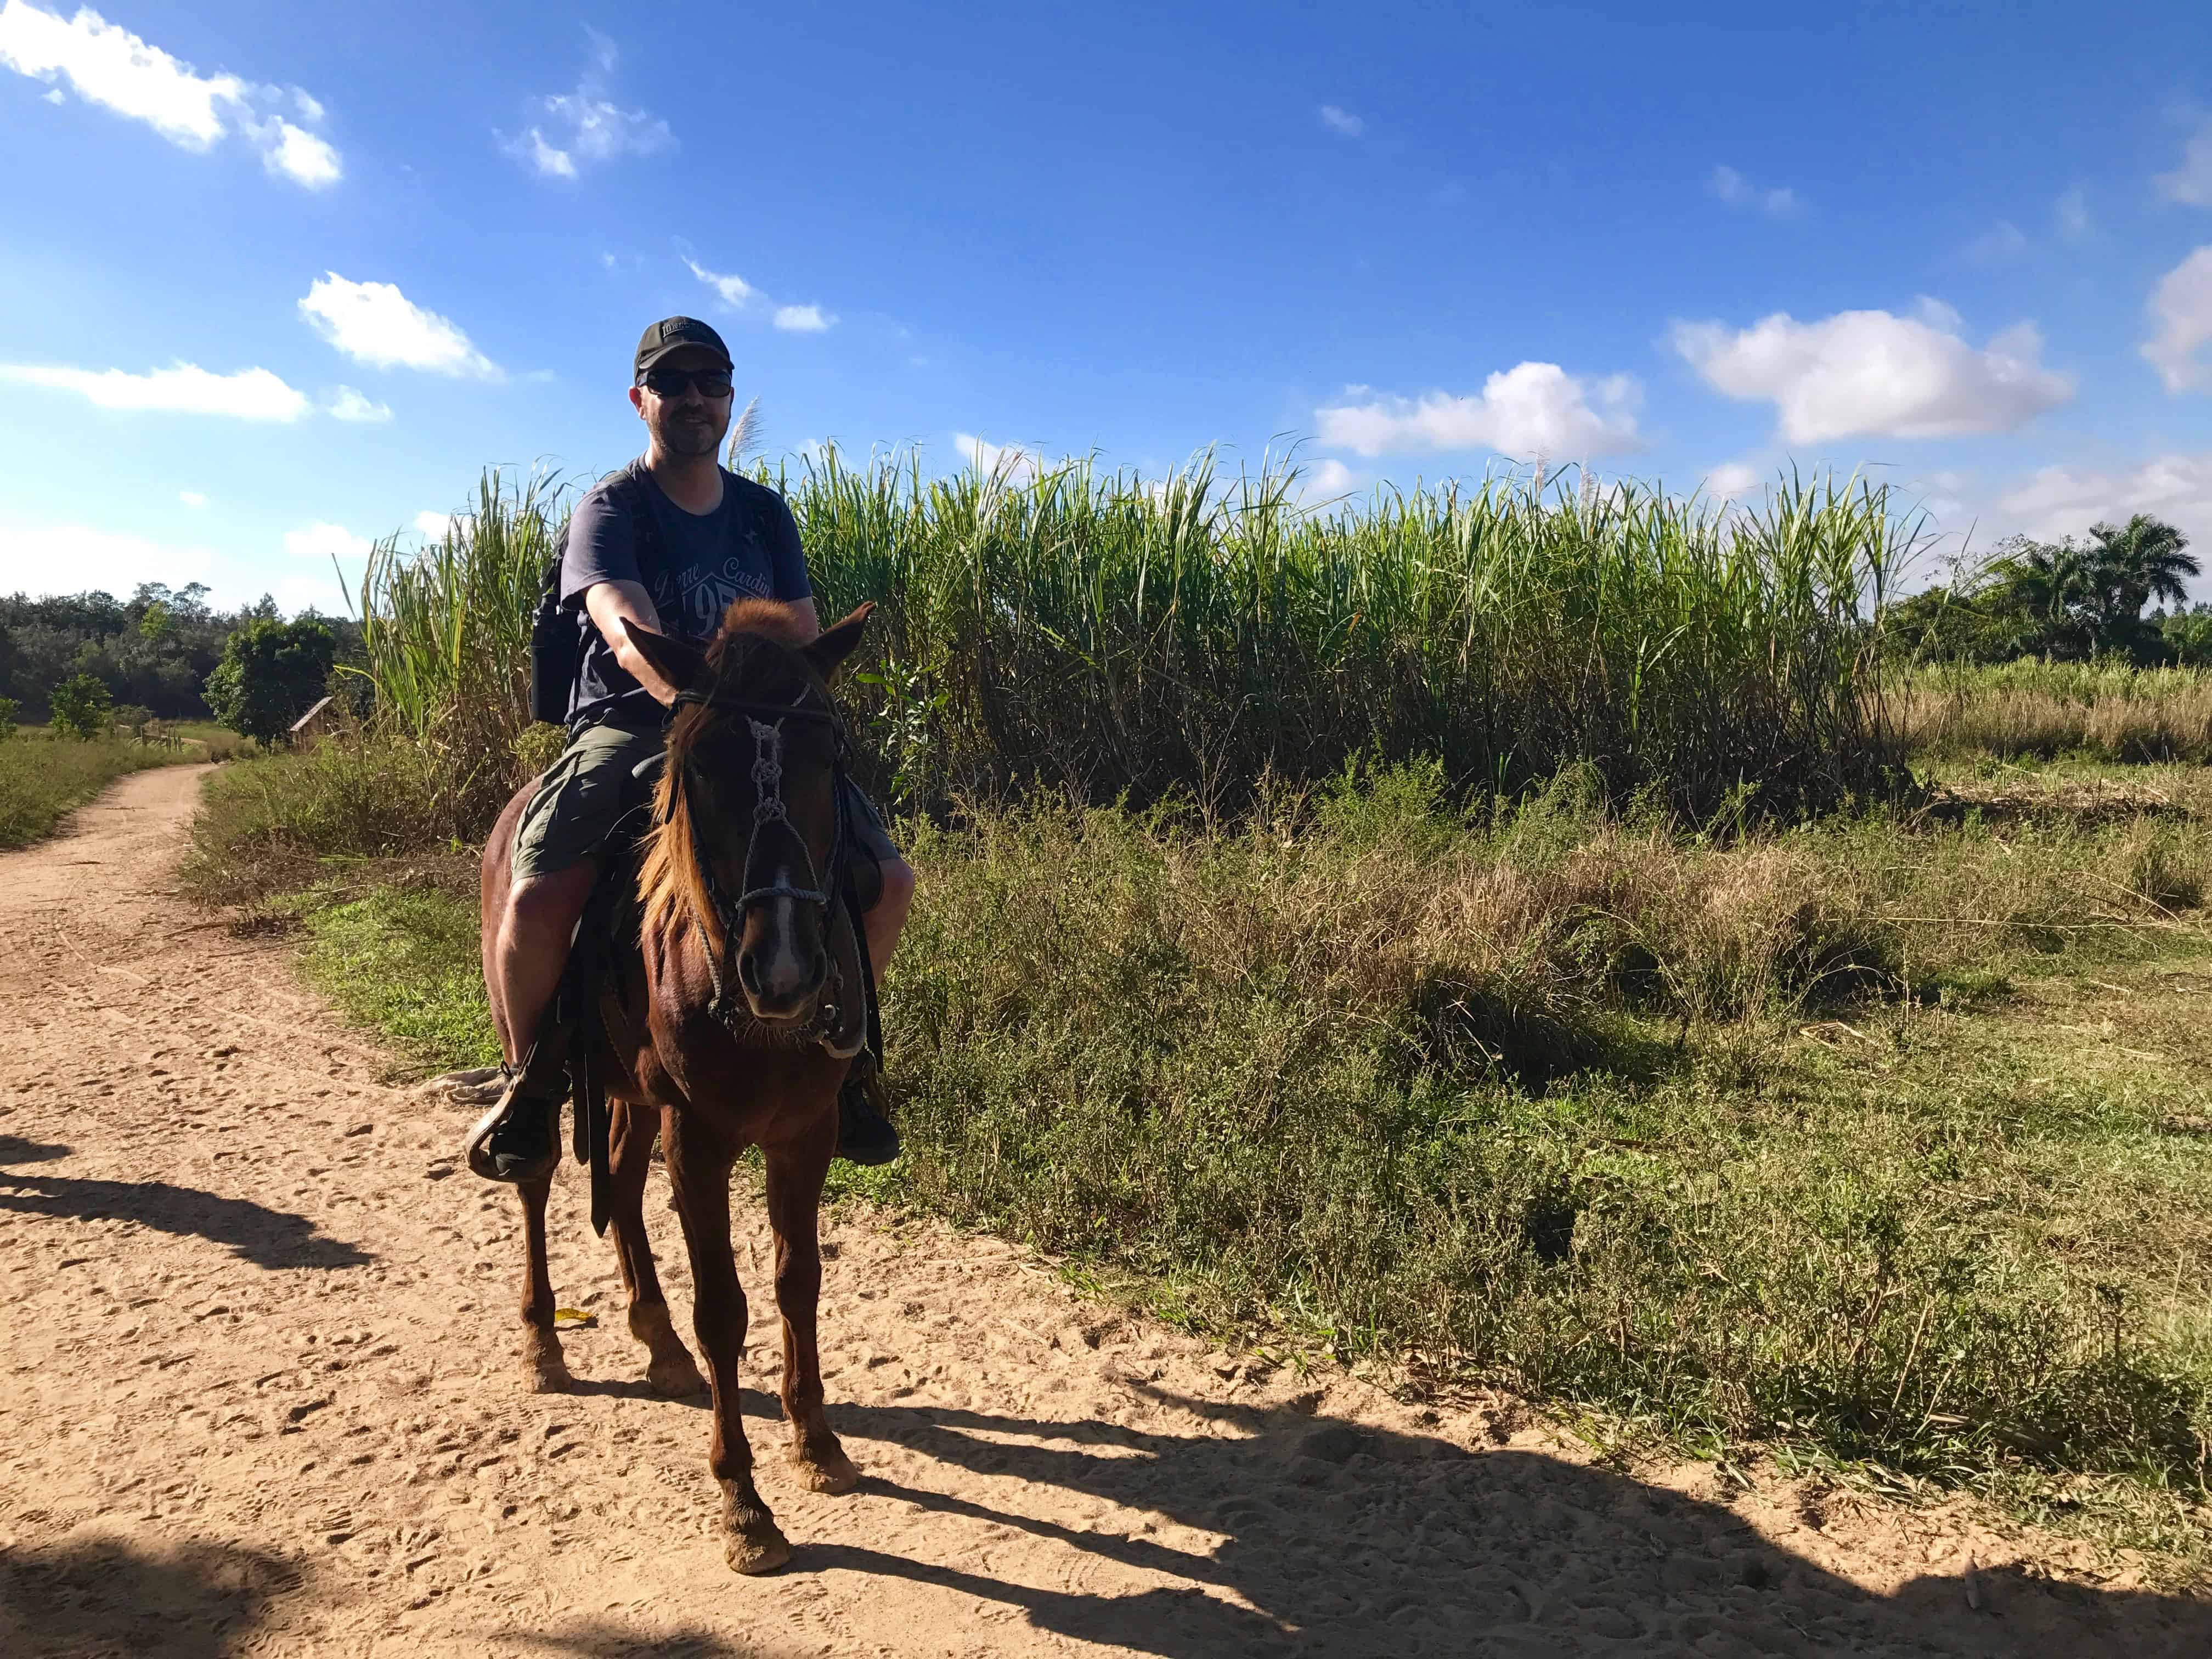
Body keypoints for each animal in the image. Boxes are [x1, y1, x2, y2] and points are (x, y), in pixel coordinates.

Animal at [479, 597, 876, 1575]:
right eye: (700, 766)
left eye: (831, 758)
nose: (784, 969)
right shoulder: (698, 1138)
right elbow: (725, 1309)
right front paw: (743, 1501)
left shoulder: (804, 1134)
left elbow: (797, 1281)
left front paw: (817, 1442)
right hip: (539, 1053)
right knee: (540, 1180)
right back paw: (544, 1339)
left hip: (628, 1093)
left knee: (619, 1186)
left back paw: (653, 1338)